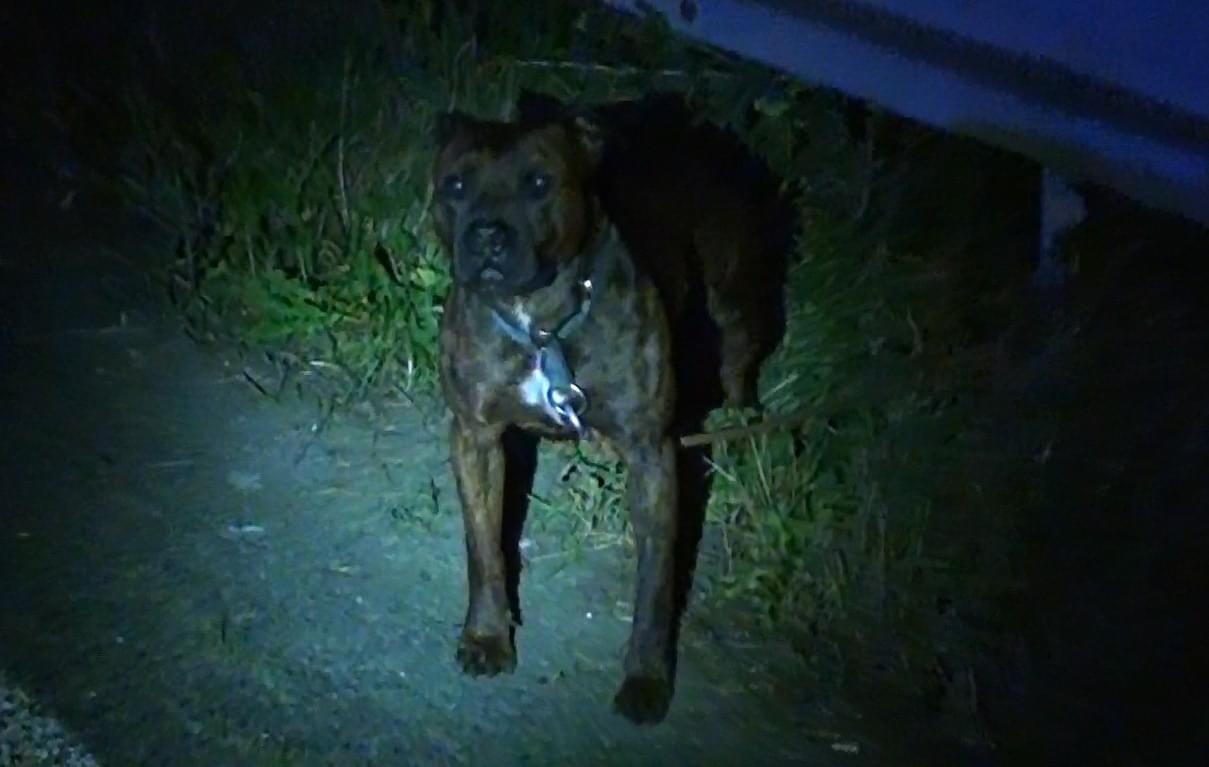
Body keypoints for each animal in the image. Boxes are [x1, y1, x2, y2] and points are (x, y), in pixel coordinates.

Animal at [430, 90, 788, 725]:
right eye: (455, 185)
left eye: (539, 181)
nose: (487, 235)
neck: (540, 324)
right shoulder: (475, 437)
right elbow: (484, 549)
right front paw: (488, 636)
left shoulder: (652, 457)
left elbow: (655, 586)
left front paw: (646, 677)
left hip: (738, 297)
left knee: (738, 362)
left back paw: (744, 418)